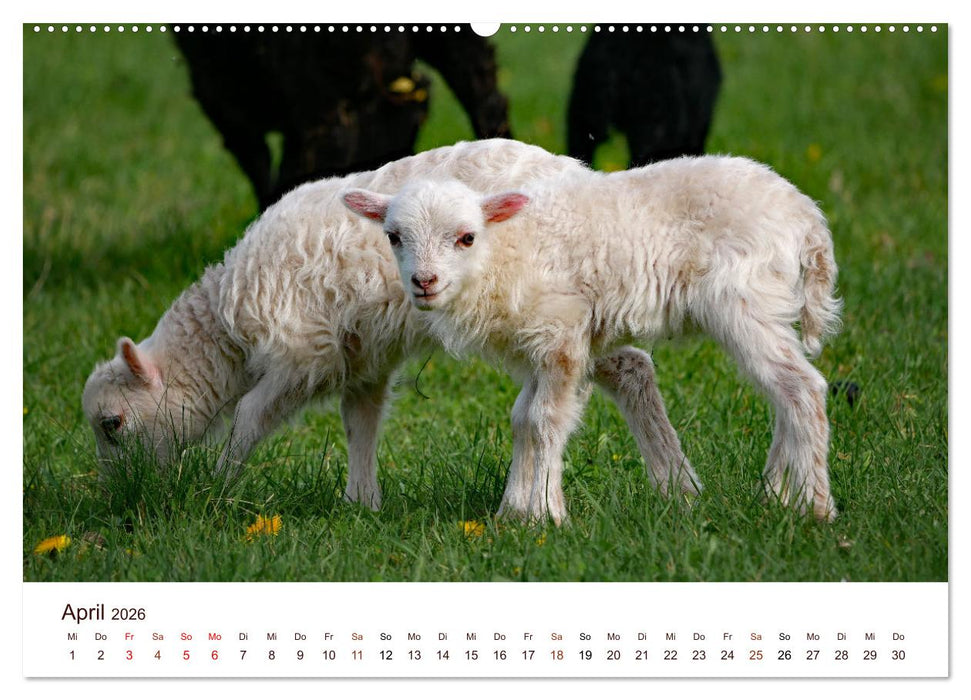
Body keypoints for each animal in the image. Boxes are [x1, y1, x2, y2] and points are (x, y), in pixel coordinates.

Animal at [82, 138, 697, 512]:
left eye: (113, 424)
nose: (121, 496)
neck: (226, 329)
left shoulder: (304, 353)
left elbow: (251, 418)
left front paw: (217, 486)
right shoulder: (361, 356)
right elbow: (360, 422)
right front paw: (362, 502)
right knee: (631, 367)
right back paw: (678, 487)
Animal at [341, 155, 842, 524]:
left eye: (466, 237)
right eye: (393, 236)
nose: (424, 282)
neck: (503, 252)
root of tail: (808, 219)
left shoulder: (562, 330)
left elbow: (545, 418)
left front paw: (546, 514)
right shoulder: (535, 345)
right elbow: (522, 419)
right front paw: (512, 513)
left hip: (744, 299)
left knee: (802, 387)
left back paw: (815, 507)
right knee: (784, 391)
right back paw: (776, 495)